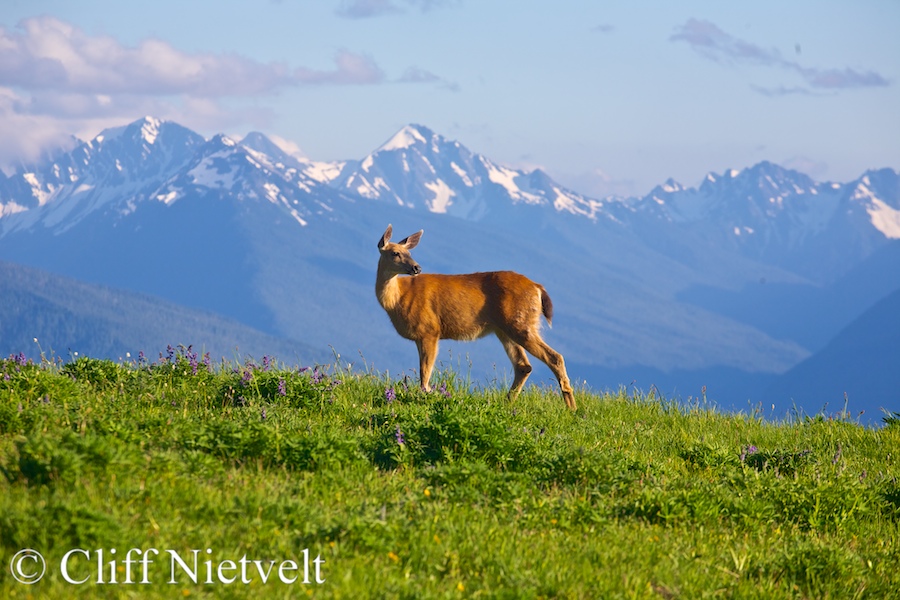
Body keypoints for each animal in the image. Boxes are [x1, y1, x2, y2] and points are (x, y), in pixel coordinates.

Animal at [378, 223, 576, 410]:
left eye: (409, 252)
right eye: (395, 253)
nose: (416, 267)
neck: (398, 299)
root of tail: (538, 288)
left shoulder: (430, 330)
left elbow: (425, 372)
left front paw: (425, 395)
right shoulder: (422, 336)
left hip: (520, 324)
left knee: (554, 357)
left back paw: (571, 408)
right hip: (505, 329)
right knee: (523, 366)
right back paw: (508, 402)